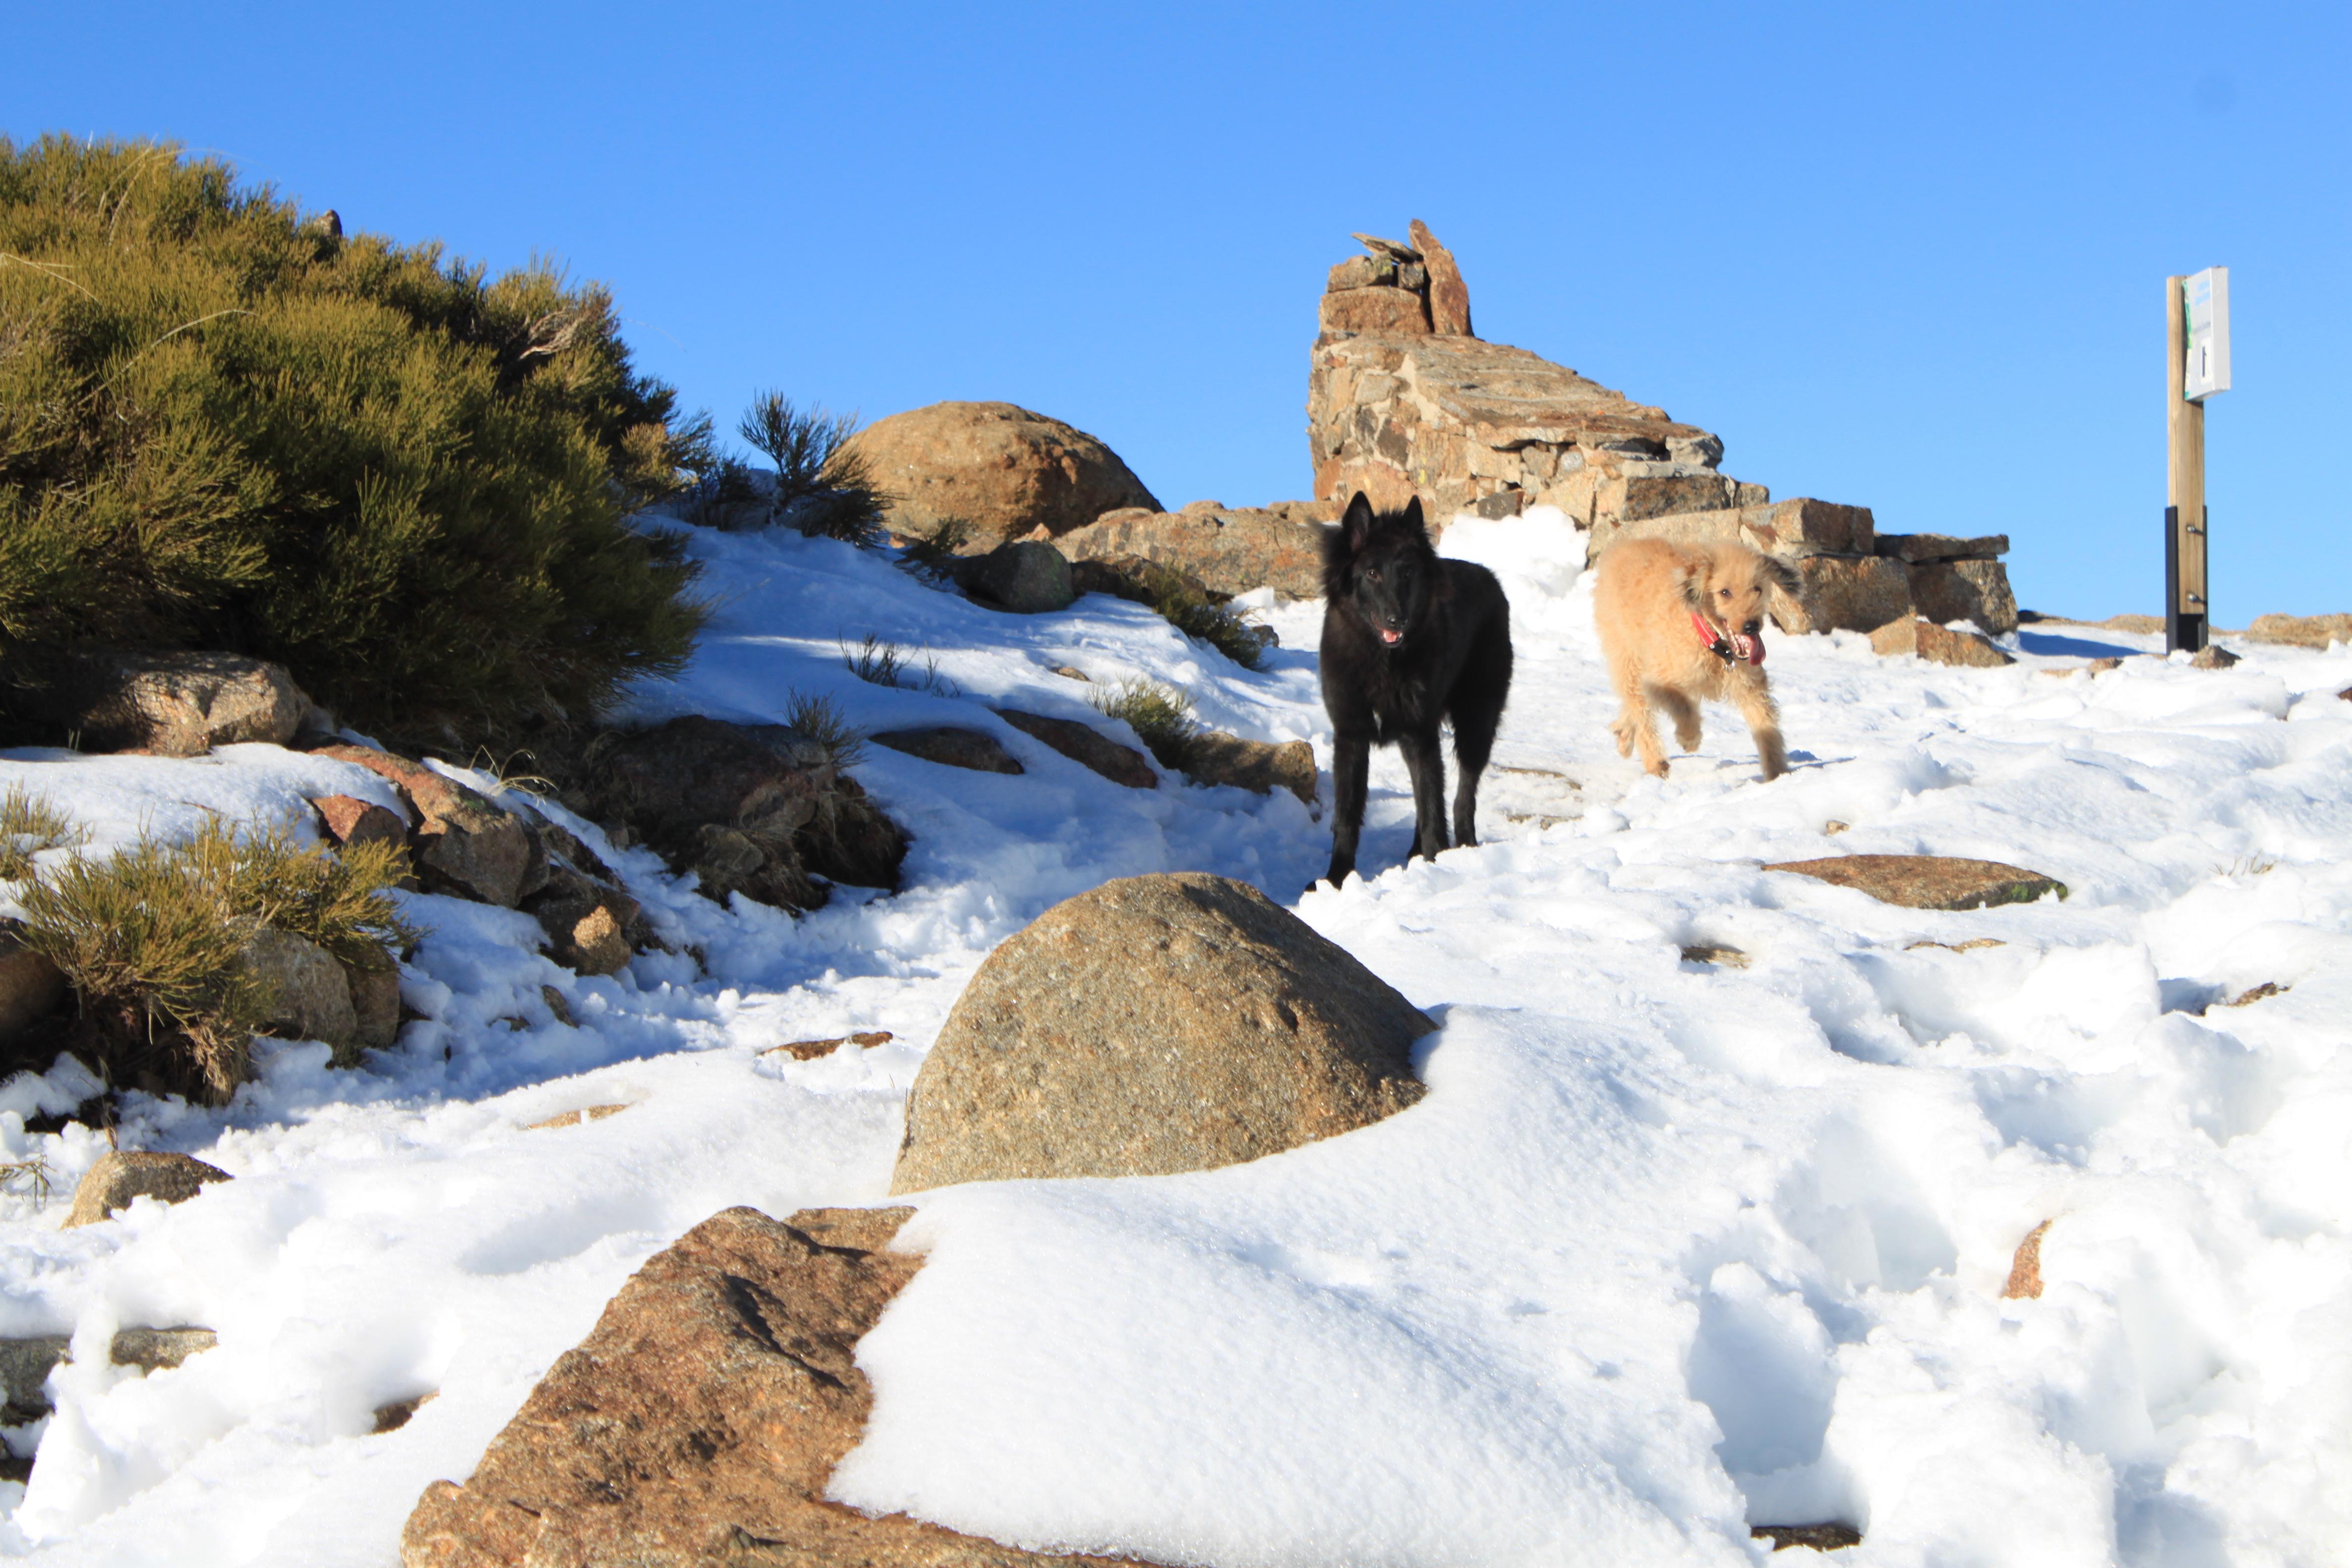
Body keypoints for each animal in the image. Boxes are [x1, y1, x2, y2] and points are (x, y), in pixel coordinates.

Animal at [1326, 493, 1505, 883]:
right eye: (1372, 574)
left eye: (1407, 573)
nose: (1398, 620)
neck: (1382, 660)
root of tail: (1489, 576)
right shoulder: (1352, 736)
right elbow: (1346, 815)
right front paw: (1335, 880)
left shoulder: (1418, 733)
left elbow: (1431, 804)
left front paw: (1436, 864)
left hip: (1476, 723)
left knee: (1462, 794)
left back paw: (1464, 847)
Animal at [1599, 540, 1797, 785]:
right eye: (1724, 592)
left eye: (1757, 589)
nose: (1751, 626)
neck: (1713, 643)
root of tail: (1620, 547)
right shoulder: (1658, 678)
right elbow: (1682, 707)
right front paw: (1689, 737)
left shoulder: (1751, 688)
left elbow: (1767, 728)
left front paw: (1778, 775)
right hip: (1627, 658)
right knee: (1640, 710)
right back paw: (1655, 762)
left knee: (1633, 706)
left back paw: (1624, 734)